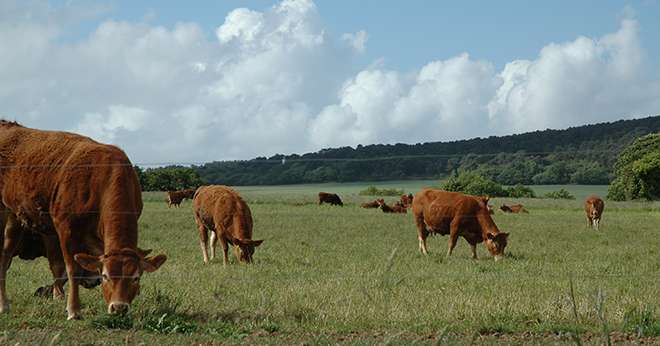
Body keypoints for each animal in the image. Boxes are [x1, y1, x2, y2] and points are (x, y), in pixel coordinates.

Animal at [0, 121, 165, 318]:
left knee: (6, 253)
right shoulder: (65, 229)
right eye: (106, 276)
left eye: (135, 278)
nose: (119, 307)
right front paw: (73, 310)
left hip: (15, 216)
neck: (102, 178)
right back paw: (3, 304)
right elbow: (70, 269)